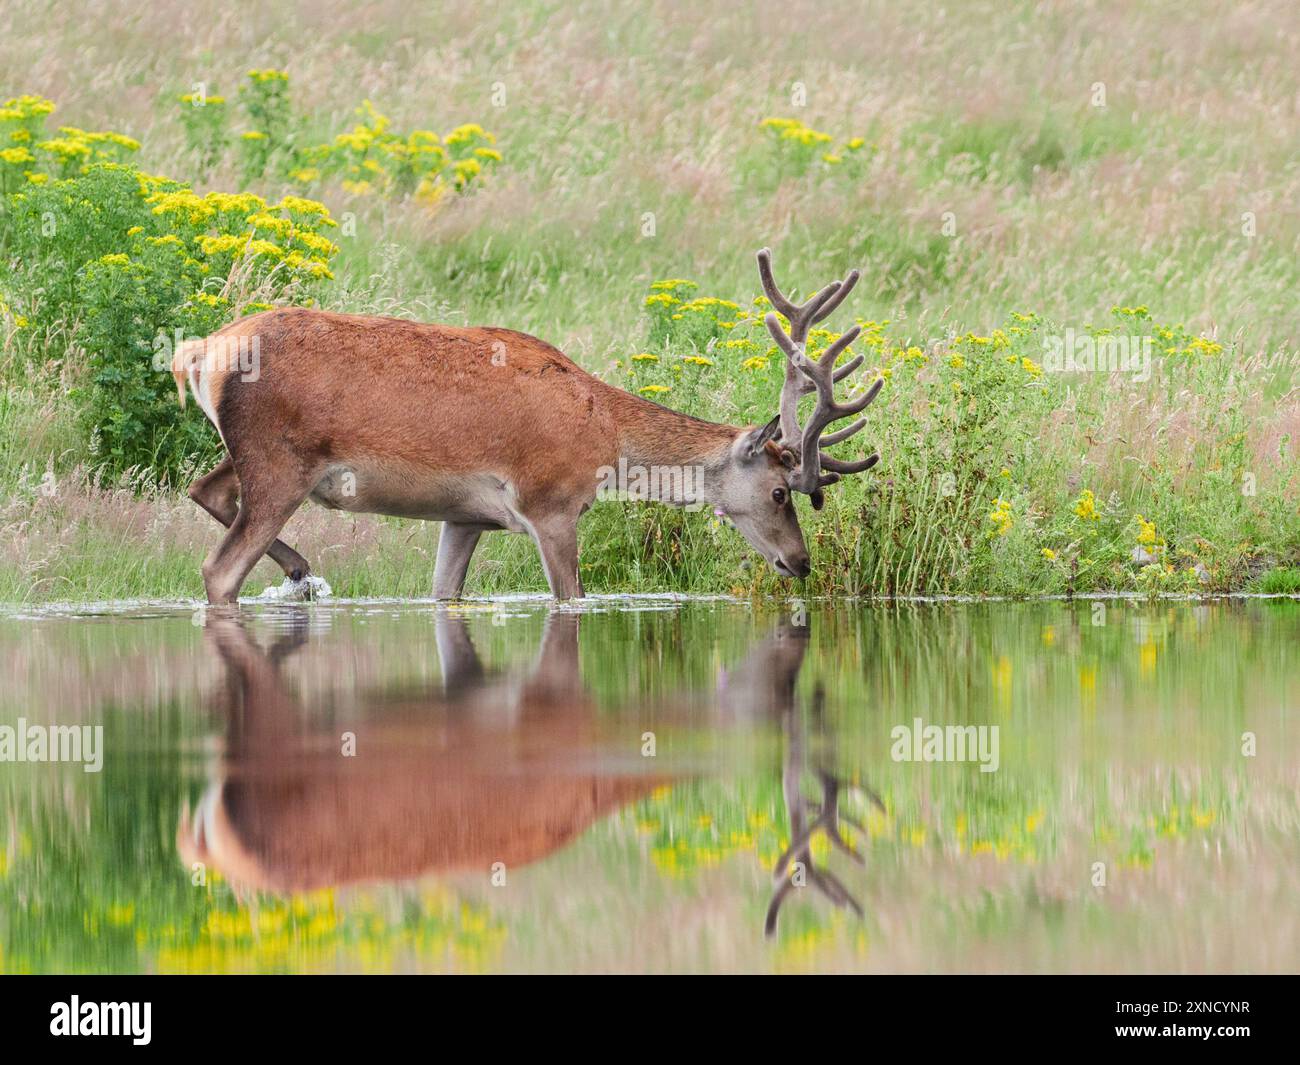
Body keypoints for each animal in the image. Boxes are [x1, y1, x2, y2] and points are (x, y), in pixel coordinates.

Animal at [172, 245, 883, 603]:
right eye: (780, 491)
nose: (801, 562)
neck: (605, 438)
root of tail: (203, 352)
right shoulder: (551, 502)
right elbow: (572, 597)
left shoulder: (464, 516)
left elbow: (445, 592)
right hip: (280, 460)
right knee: (218, 567)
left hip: (251, 456)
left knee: (204, 488)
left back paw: (302, 572)